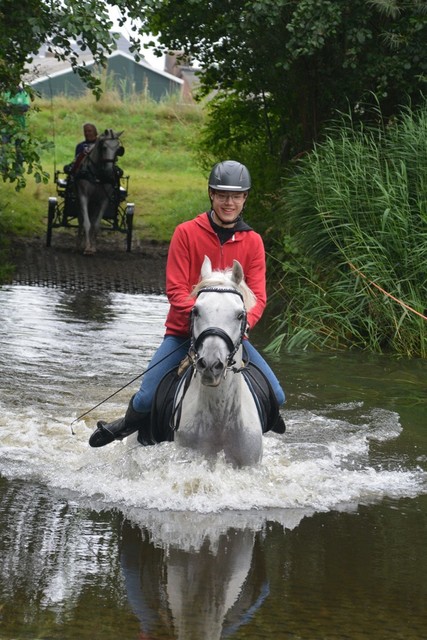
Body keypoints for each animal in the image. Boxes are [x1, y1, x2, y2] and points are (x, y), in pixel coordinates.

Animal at [75, 127, 124, 255]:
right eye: (104, 147)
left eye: (118, 149)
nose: (109, 172)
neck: (98, 175)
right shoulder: (83, 196)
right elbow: (86, 223)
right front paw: (87, 247)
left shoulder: (104, 200)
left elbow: (96, 224)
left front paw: (93, 247)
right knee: (81, 220)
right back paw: (79, 244)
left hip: (94, 203)